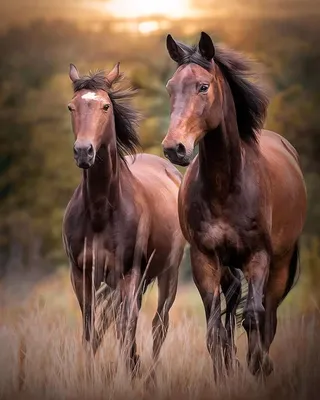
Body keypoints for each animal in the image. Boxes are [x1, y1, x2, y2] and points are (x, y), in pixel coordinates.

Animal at [62, 61, 185, 376]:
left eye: (105, 106)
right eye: (71, 106)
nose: (83, 151)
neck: (100, 213)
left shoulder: (129, 274)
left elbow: (126, 329)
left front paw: (129, 372)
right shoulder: (81, 274)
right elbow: (91, 327)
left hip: (168, 273)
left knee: (158, 324)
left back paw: (149, 375)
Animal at [162, 32, 308, 378]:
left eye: (203, 86)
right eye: (171, 88)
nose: (174, 148)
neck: (225, 186)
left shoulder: (258, 257)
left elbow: (254, 316)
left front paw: (259, 366)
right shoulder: (205, 259)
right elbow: (215, 329)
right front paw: (224, 373)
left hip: (280, 265)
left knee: (268, 315)